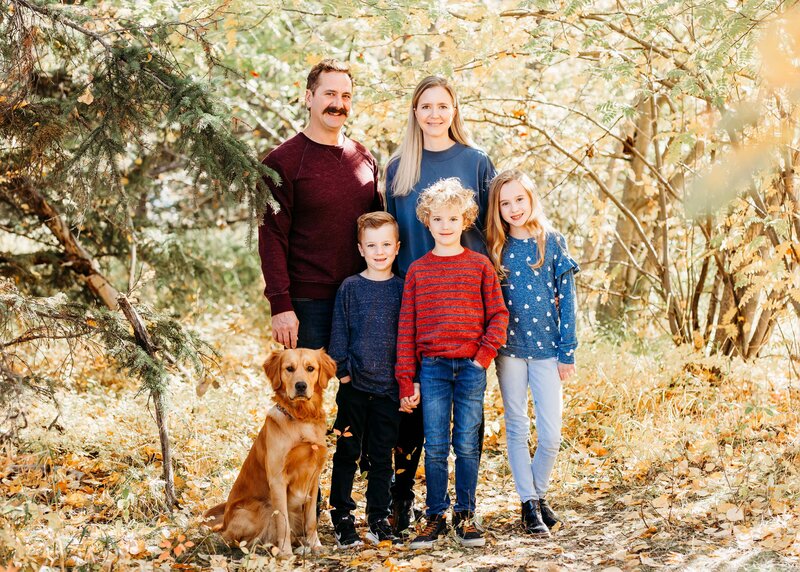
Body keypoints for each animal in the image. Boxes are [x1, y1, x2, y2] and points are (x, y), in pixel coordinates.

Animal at [205, 346, 336, 556]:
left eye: (310, 368)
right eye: (289, 368)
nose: (300, 386)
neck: (301, 419)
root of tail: (223, 523)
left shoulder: (313, 478)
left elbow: (311, 520)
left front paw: (315, 545)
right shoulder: (277, 480)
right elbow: (282, 521)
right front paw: (286, 553)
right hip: (259, 507)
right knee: (236, 540)